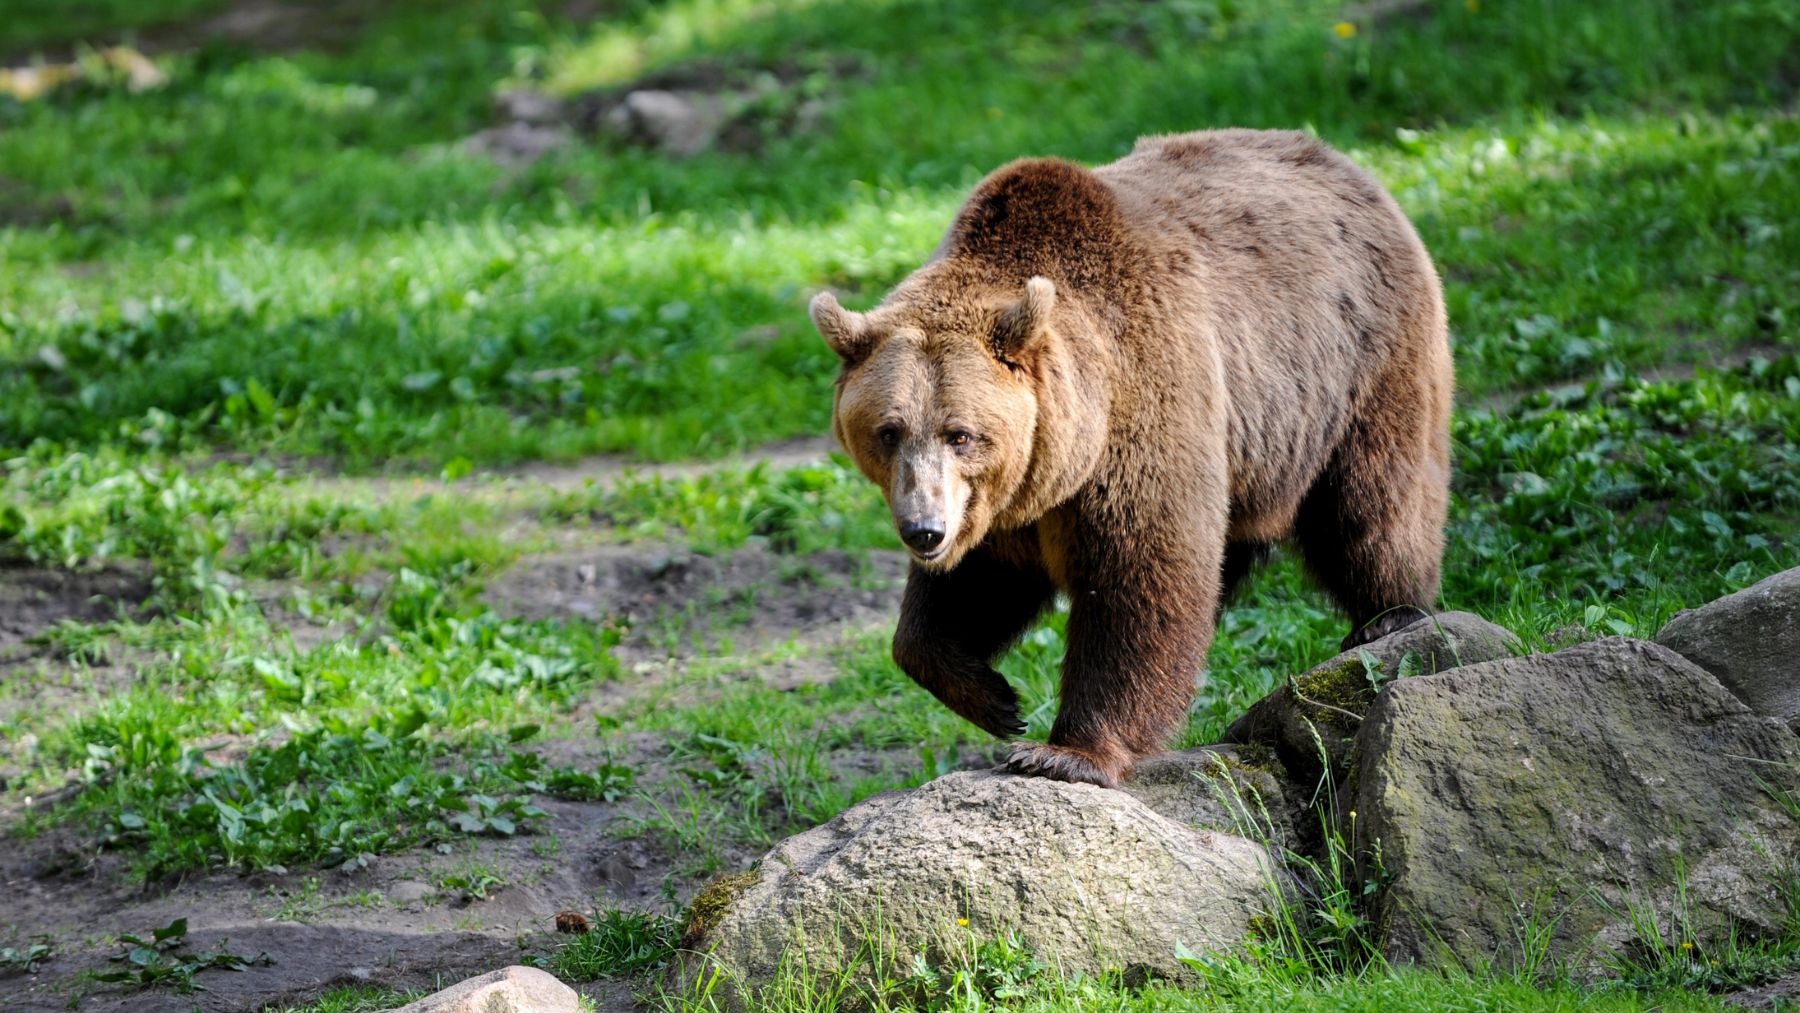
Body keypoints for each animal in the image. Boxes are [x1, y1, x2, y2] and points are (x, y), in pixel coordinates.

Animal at [809, 129, 1453, 789]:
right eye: (888, 431)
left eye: (959, 433)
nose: (924, 530)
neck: (1068, 449)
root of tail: (1346, 164)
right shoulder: (1001, 501)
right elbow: (967, 591)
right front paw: (993, 698)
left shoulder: (1143, 409)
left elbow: (1141, 576)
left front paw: (1064, 751)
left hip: (1358, 365)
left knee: (1371, 503)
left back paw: (1390, 615)